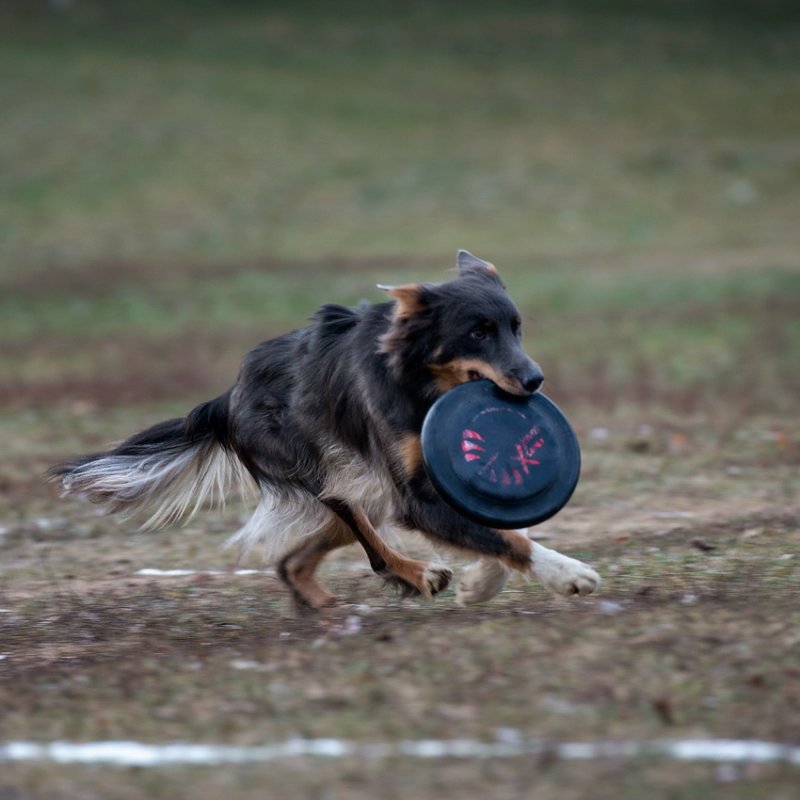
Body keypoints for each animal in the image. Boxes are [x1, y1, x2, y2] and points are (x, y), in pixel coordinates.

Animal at [51, 253, 600, 608]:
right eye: (478, 332)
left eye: (516, 327)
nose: (535, 380)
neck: (419, 380)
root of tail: (227, 397)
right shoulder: (415, 495)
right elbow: (503, 537)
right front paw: (566, 572)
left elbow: (501, 529)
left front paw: (484, 581)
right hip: (322, 472)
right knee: (368, 543)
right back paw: (414, 572)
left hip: (358, 483)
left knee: (297, 560)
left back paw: (319, 600)